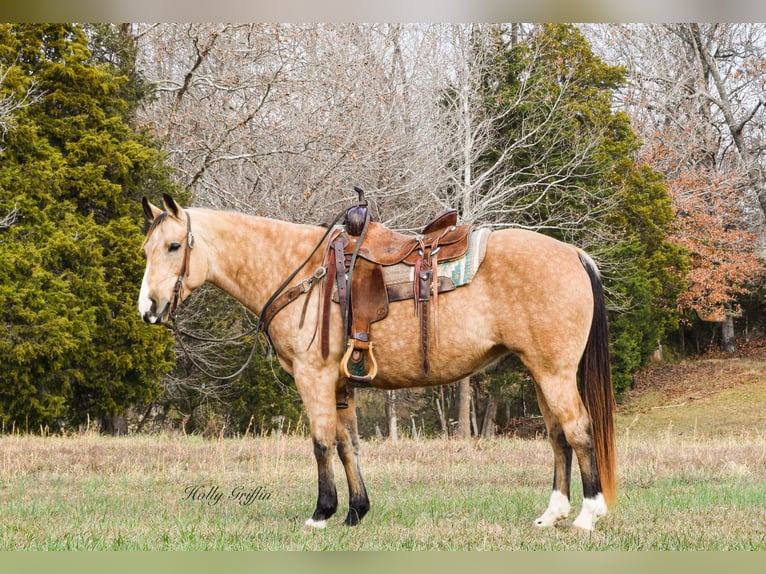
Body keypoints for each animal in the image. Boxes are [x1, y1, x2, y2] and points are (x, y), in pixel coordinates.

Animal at [138, 196, 616, 532]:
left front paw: (322, 512)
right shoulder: (339, 384)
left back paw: (588, 516)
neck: (302, 275)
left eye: (174, 246)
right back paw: (552, 515)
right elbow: (347, 444)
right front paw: (356, 510)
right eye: (146, 249)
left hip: (554, 373)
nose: (148, 308)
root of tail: (573, 253)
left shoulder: (313, 377)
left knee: (578, 431)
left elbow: (321, 443)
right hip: (540, 372)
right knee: (557, 437)